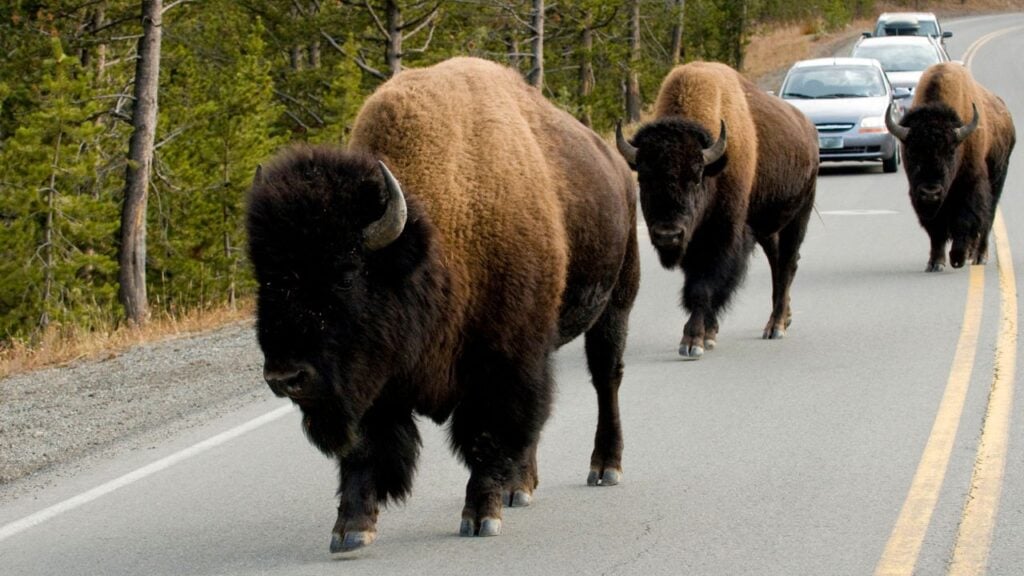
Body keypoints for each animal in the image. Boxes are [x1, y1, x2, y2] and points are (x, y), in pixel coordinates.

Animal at [246, 57, 639, 553]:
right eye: (265, 278)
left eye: (347, 272)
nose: (285, 377)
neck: (434, 241)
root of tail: (616, 165)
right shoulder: (374, 379)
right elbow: (364, 447)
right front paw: (351, 528)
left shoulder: (500, 364)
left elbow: (486, 435)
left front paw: (480, 516)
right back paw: (520, 487)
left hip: (615, 302)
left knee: (606, 380)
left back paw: (605, 467)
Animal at [616, 61, 818, 358]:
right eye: (643, 177)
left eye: (696, 176)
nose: (667, 235)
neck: (716, 165)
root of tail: (808, 127)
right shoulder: (692, 240)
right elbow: (697, 284)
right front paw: (708, 333)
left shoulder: (722, 236)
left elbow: (703, 286)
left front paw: (693, 341)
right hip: (767, 228)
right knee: (777, 263)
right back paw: (785, 318)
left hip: (799, 215)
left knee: (787, 265)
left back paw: (776, 326)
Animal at [886, 62, 1016, 271]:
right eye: (912, 151)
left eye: (950, 151)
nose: (930, 191)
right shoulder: (921, 196)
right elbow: (936, 229)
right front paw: (935, 263)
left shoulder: (970, 186)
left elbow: (964, 221)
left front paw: (957, 258)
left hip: (997, 179)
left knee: (987, 218)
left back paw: (979, 256)